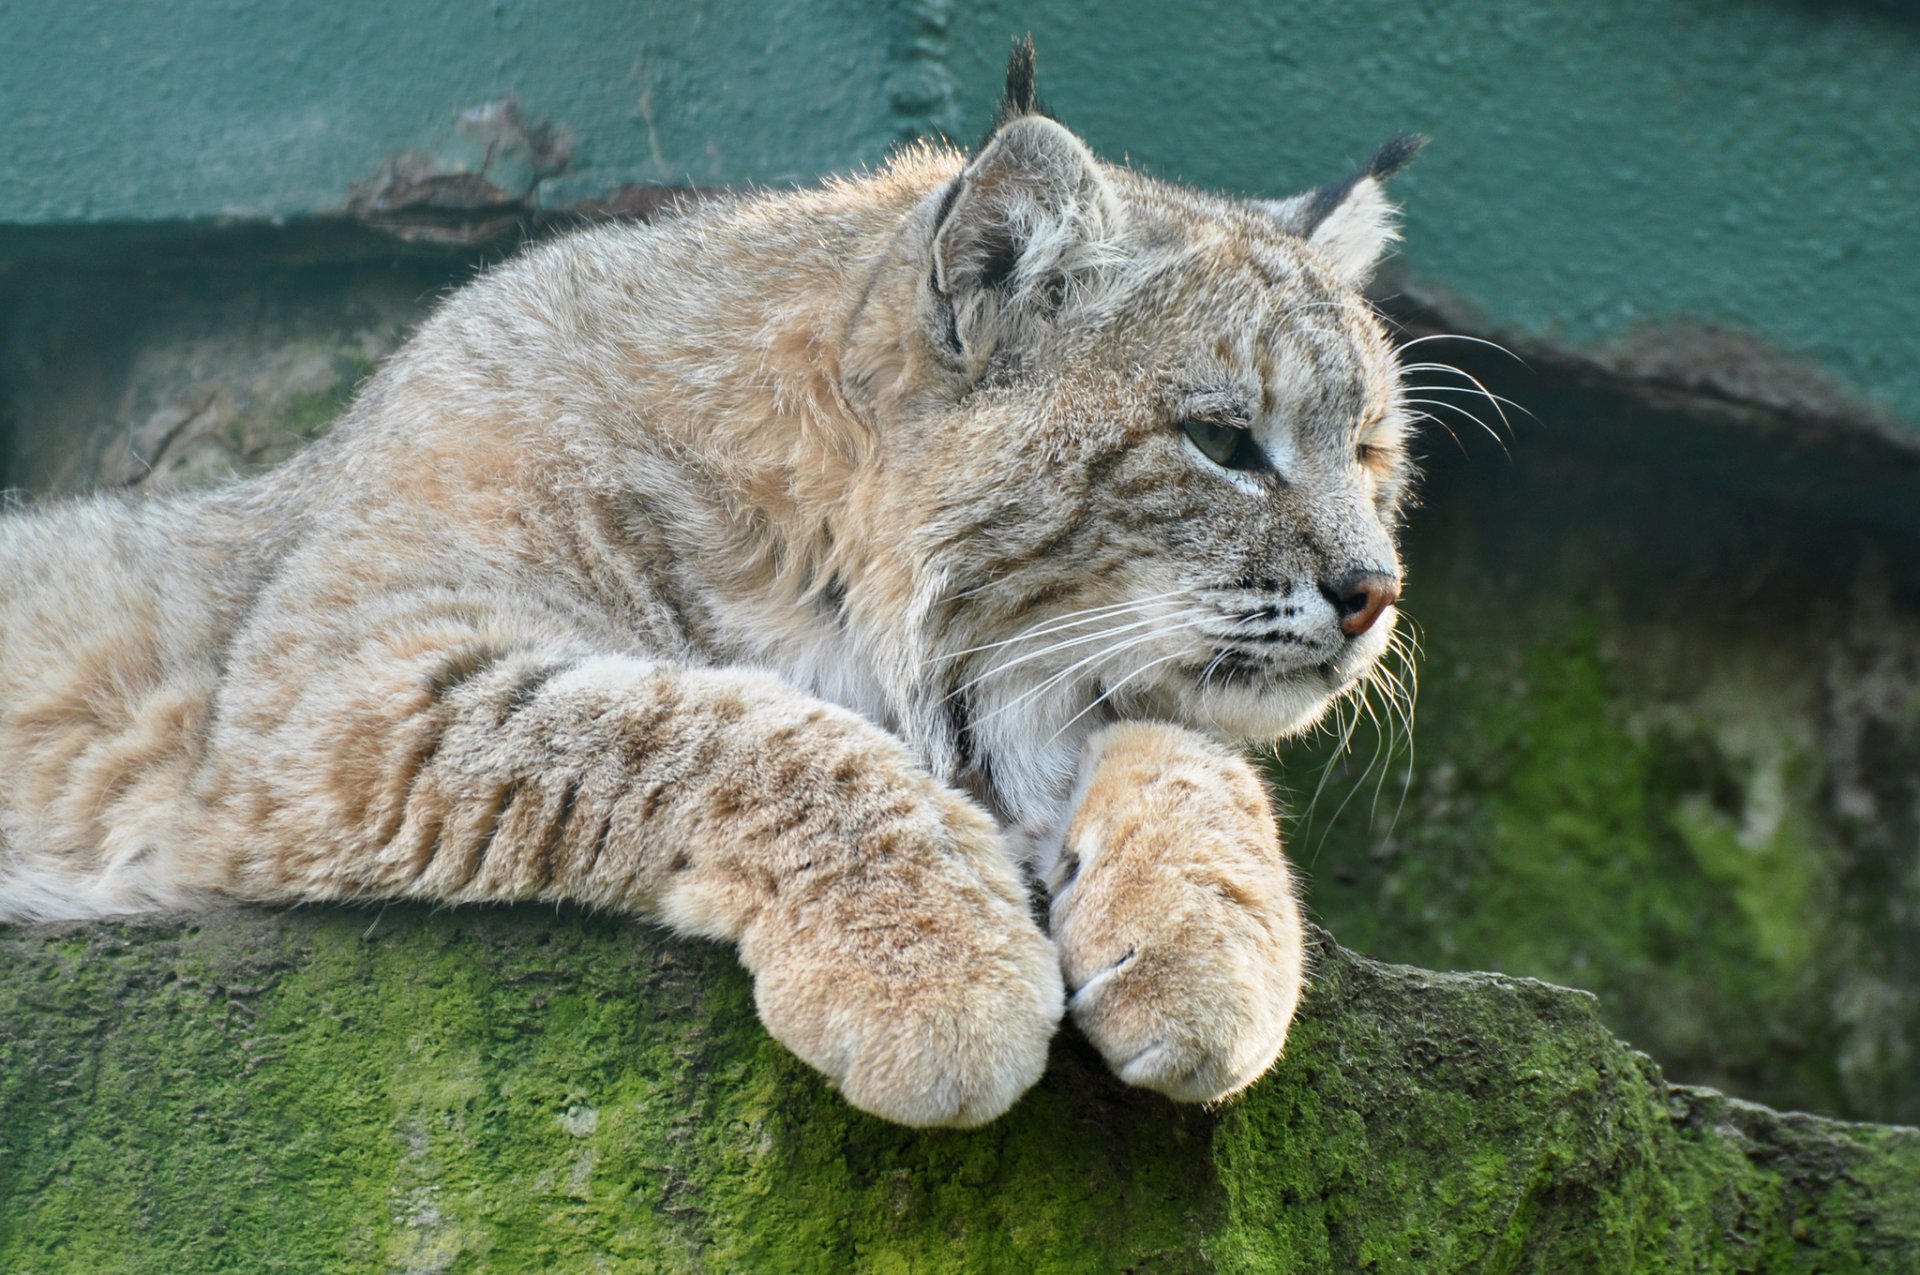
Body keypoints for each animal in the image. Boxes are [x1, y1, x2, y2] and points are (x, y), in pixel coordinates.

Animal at [0, 41, 1421, 1127]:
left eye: (1368, 452)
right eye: (1223, 442)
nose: (1375, 595)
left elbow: (1189, 746)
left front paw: (1204, 945)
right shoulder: (328, 706)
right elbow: (712, 726)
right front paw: (934, 971)